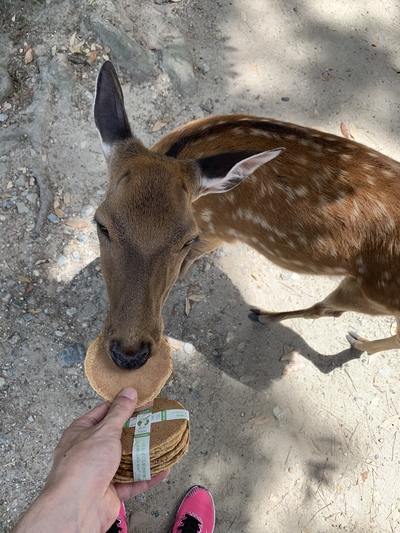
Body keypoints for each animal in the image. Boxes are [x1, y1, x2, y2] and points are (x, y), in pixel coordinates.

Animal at [92, 61, 400, 370]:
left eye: (186, 239)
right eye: (101, 224)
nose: (129, 354)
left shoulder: (217, 232)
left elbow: (189, 263)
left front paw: (178, 278)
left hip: (374, 292)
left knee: (330, 310)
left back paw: (273, 317)